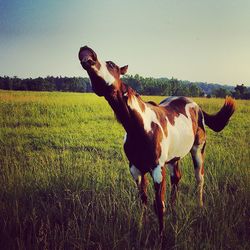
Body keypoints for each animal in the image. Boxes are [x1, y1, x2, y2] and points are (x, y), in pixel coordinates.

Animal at [78, 45, 236, 234]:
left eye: (111, 64)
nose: (86, 51)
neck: (141, 127)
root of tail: (196, 105)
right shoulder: (136, 169)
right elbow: (143, 199)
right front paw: (141, 226)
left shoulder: (157, 169)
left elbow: (159, 205)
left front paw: (160, 235)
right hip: (173, 159)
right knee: (177, 178)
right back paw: (175, 209)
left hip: (198, 150)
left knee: (200, 178)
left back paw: (200, 206)